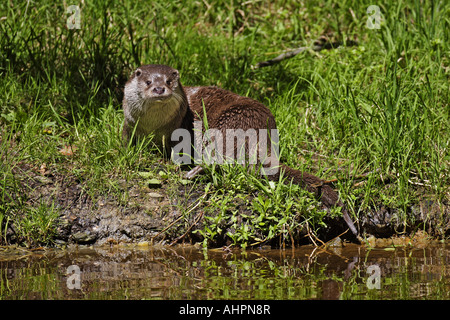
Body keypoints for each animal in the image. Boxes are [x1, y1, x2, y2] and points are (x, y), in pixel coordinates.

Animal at [122, 65, 358, 239]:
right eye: (148, 82)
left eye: (169, 81)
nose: (159, 89)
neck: (155, 127)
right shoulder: (130, 125)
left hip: (229, 122)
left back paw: (192, 172)